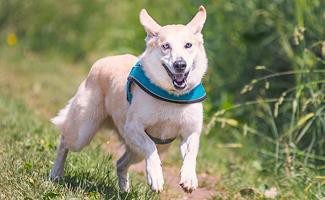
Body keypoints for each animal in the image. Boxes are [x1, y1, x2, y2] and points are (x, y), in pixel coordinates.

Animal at [50, 6, 208, 193]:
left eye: (188, 45)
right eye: (166, 46)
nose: (180, 65)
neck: (171, 96)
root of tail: (103, 60)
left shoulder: (191, 132)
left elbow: (191, 153)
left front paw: (189, 178)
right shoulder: (133, 127)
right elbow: (150, 146)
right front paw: (156, 177)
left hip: (147, 148)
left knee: (120, 163)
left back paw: (124, 190)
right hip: (83, 132)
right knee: (64, 141)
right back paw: (56, 174)